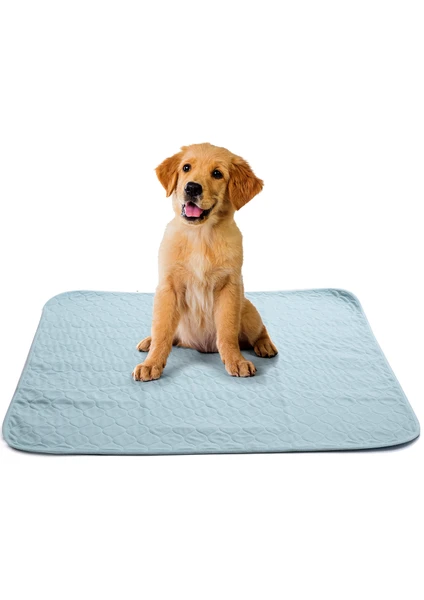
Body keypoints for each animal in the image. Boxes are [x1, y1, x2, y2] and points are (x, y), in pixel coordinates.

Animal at [133, 143, 278, 382]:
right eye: (186, 167)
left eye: (217, 173)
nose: (192, 188)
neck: (200, 235)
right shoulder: (168, 288)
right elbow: (162, 331)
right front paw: (151, 364)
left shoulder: (229, 287)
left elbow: (227, 332)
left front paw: (236, 361)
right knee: (168, 335)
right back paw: (148, 341)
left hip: (248, 313)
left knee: (260, 330)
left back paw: (265, 346)